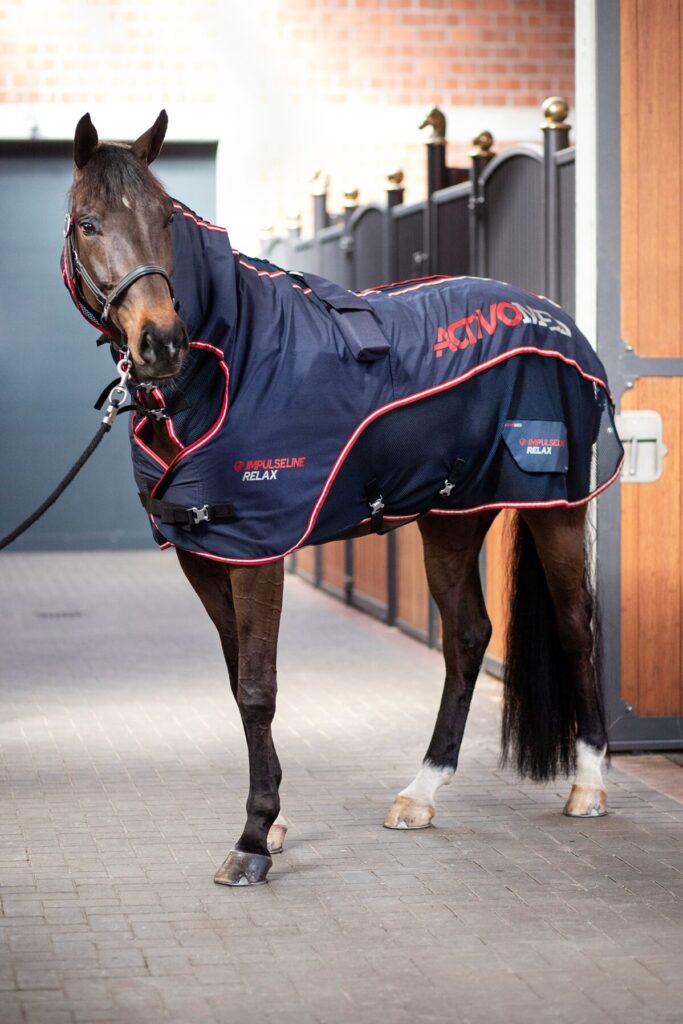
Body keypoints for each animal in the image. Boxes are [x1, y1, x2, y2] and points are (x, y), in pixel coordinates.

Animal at [62, 110, 623, 887]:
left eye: (165, 218)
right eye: (88, 224)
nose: (161, 342)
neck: (231, 361)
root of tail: (557, 320)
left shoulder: (258, 548)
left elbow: (257, 688)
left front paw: (252, 838)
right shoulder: (202, 553)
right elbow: (238, 680)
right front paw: (270, 824)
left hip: (556, 509)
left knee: (574, 627)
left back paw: (589, 786)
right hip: (452, 518)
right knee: (468, 636)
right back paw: (420, 792)